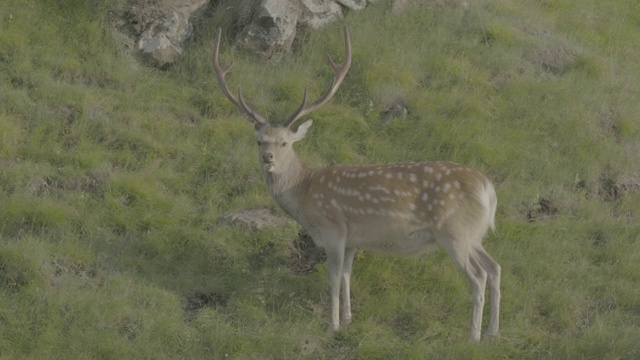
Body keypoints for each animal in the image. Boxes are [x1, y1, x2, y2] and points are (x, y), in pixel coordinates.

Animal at [212, 26, 502, 342]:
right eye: (259, 141)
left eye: (285, 142)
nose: (267, 157)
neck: (303, 194)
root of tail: (488, 189)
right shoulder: (352, 239)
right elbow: (347, 276)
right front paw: (349, 319)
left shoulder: (333, 230)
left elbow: (333, 279)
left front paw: (332, 325)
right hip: (474, 234)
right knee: (495, 267)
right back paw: (492, 333)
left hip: (454, 231)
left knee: (478, 276)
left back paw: (473, 336)